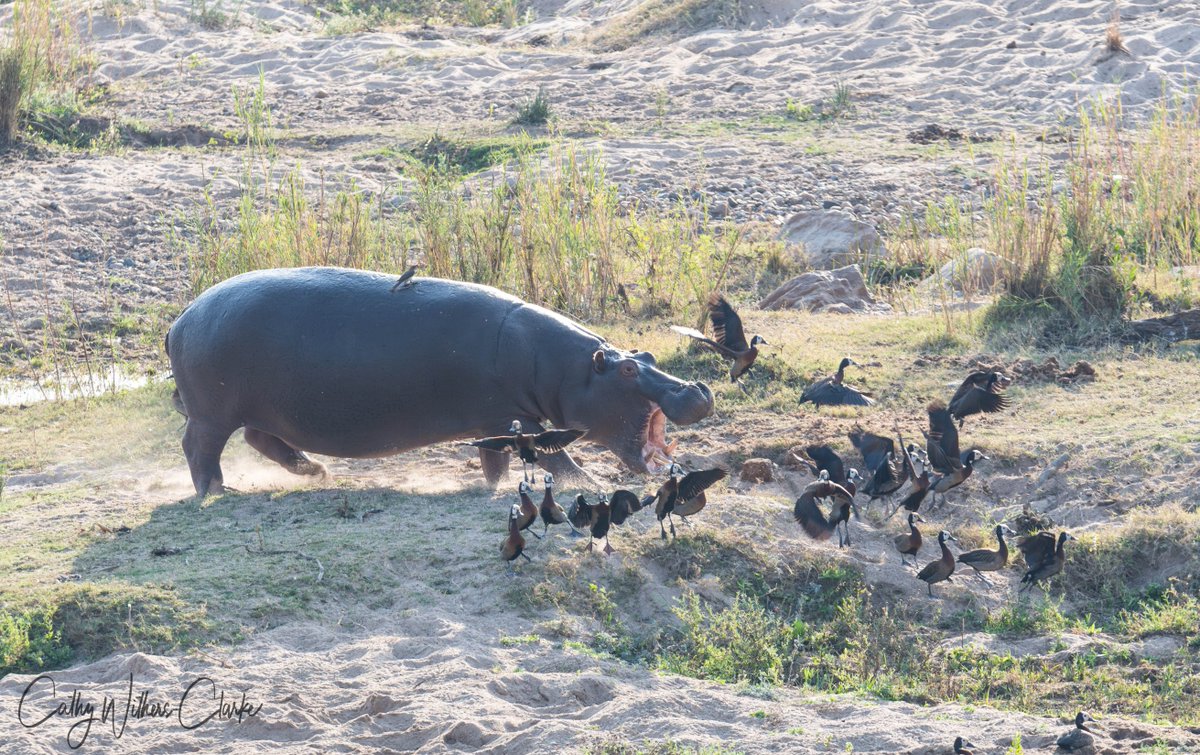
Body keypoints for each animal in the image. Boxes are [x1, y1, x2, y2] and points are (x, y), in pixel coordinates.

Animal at [165, 267, 714, 495]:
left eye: (645, 354)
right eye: (627, 369)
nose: (695, 390)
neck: (568, 369)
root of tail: (181, 318)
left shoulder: (504, 421)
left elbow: (505, 459)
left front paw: (494, 485)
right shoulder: (510, 418)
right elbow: (554, 457)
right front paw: (593, 483)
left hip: (264, 409)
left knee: (263, 440)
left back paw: (316, 472)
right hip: (213, 412)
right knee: (200, 448)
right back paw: (217, 492)